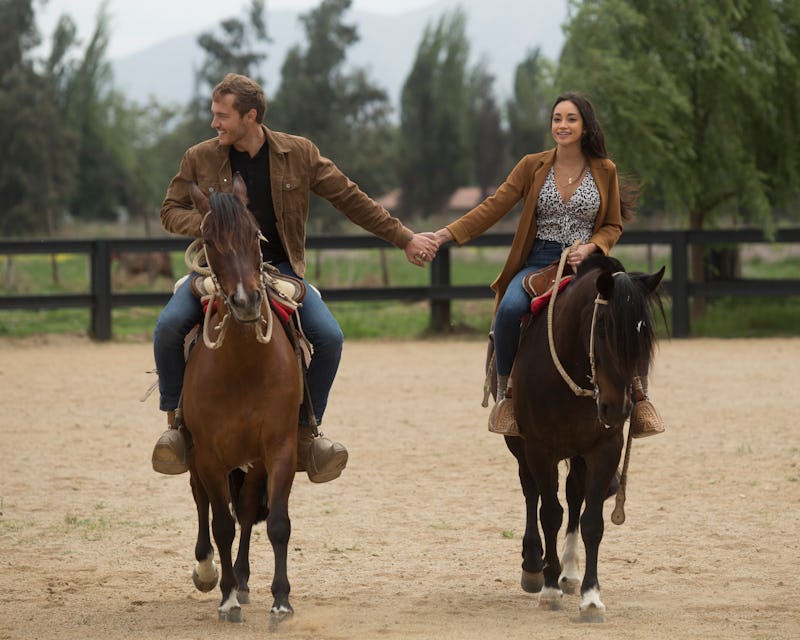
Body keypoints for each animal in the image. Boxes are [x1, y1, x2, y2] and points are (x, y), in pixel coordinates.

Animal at [180, 175, 302, 624]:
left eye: (254, 235)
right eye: (210, 242)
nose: (247, 302)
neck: (245, 368)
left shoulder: (278, 448)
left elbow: (276, 521)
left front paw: (280, 600)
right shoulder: (210, 456)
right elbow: (221, 524)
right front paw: (227, 597)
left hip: (253, 462)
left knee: (248, 509)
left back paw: (246, 578)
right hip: (196, 455)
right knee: (202, 503)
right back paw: (208, 569)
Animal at [504, 252, 664, 624]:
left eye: (645, 333)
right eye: (602, 325)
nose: (617, 408)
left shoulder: (605, 448)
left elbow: (591, 521)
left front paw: (591, 597)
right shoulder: (539, 448)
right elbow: (550, 512)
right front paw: (549, 590)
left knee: (575, 493)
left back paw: (570, 572)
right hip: (519, 443)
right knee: (530, 490)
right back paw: (533, 566)